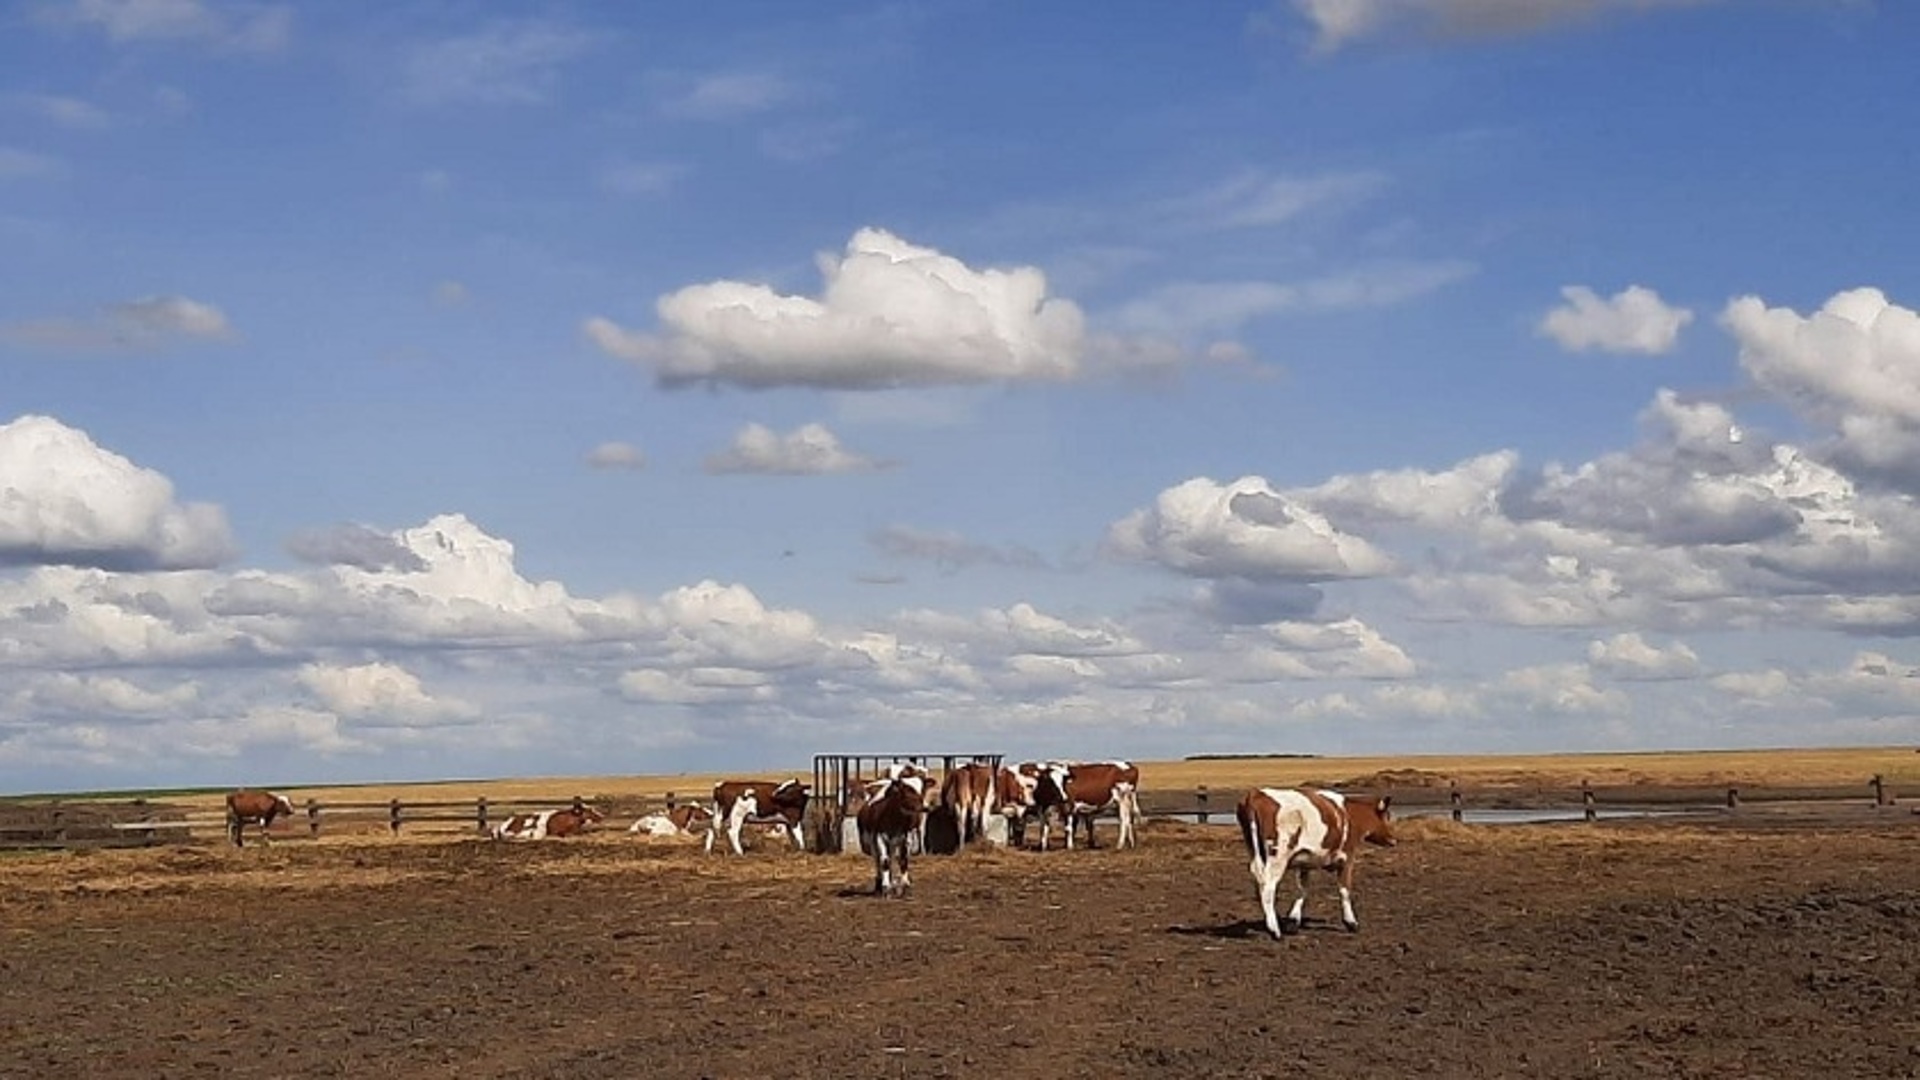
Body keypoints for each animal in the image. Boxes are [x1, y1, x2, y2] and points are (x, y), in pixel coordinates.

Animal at [1228, 780, 1397, 933]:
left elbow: (1303, 889)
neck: (1349, 815)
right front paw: (1351, 922)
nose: (1394, 840)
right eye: (1387, 816)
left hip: (1255, 852)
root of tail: (1255, 794)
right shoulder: (1347, 858)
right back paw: (1274, 930)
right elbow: (1344, 890)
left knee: (1260, 883)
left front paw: (1293, 920)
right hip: (1277, 857)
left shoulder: (1305, 862)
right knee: (1268, 886)